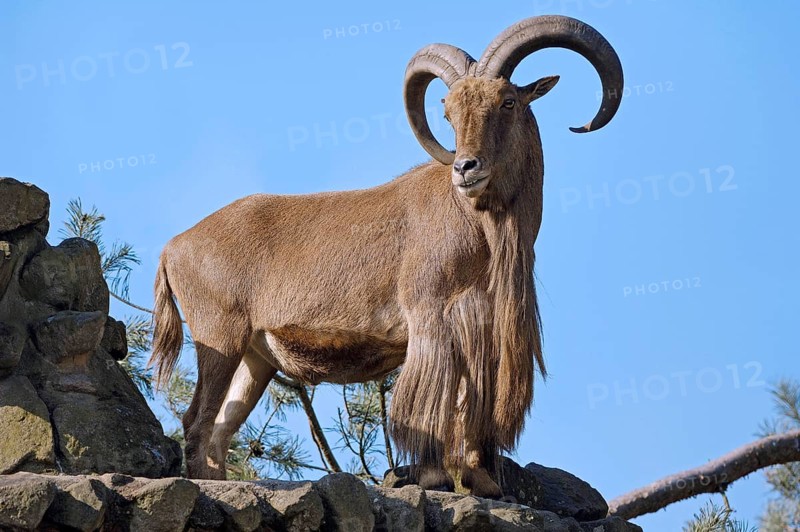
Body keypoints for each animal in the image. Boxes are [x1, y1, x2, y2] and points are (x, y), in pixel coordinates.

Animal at [149, 14, 623, 498]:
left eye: (508, 102)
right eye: (449, 112)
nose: (465, 168)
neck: (481, 229)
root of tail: (174, 246)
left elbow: (469, 403)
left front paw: (480, 478)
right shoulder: (431, 314)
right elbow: (430, 404)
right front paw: (435, 476)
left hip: (254, 357)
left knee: (220, 429)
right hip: (219, 337)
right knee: (197, 422)